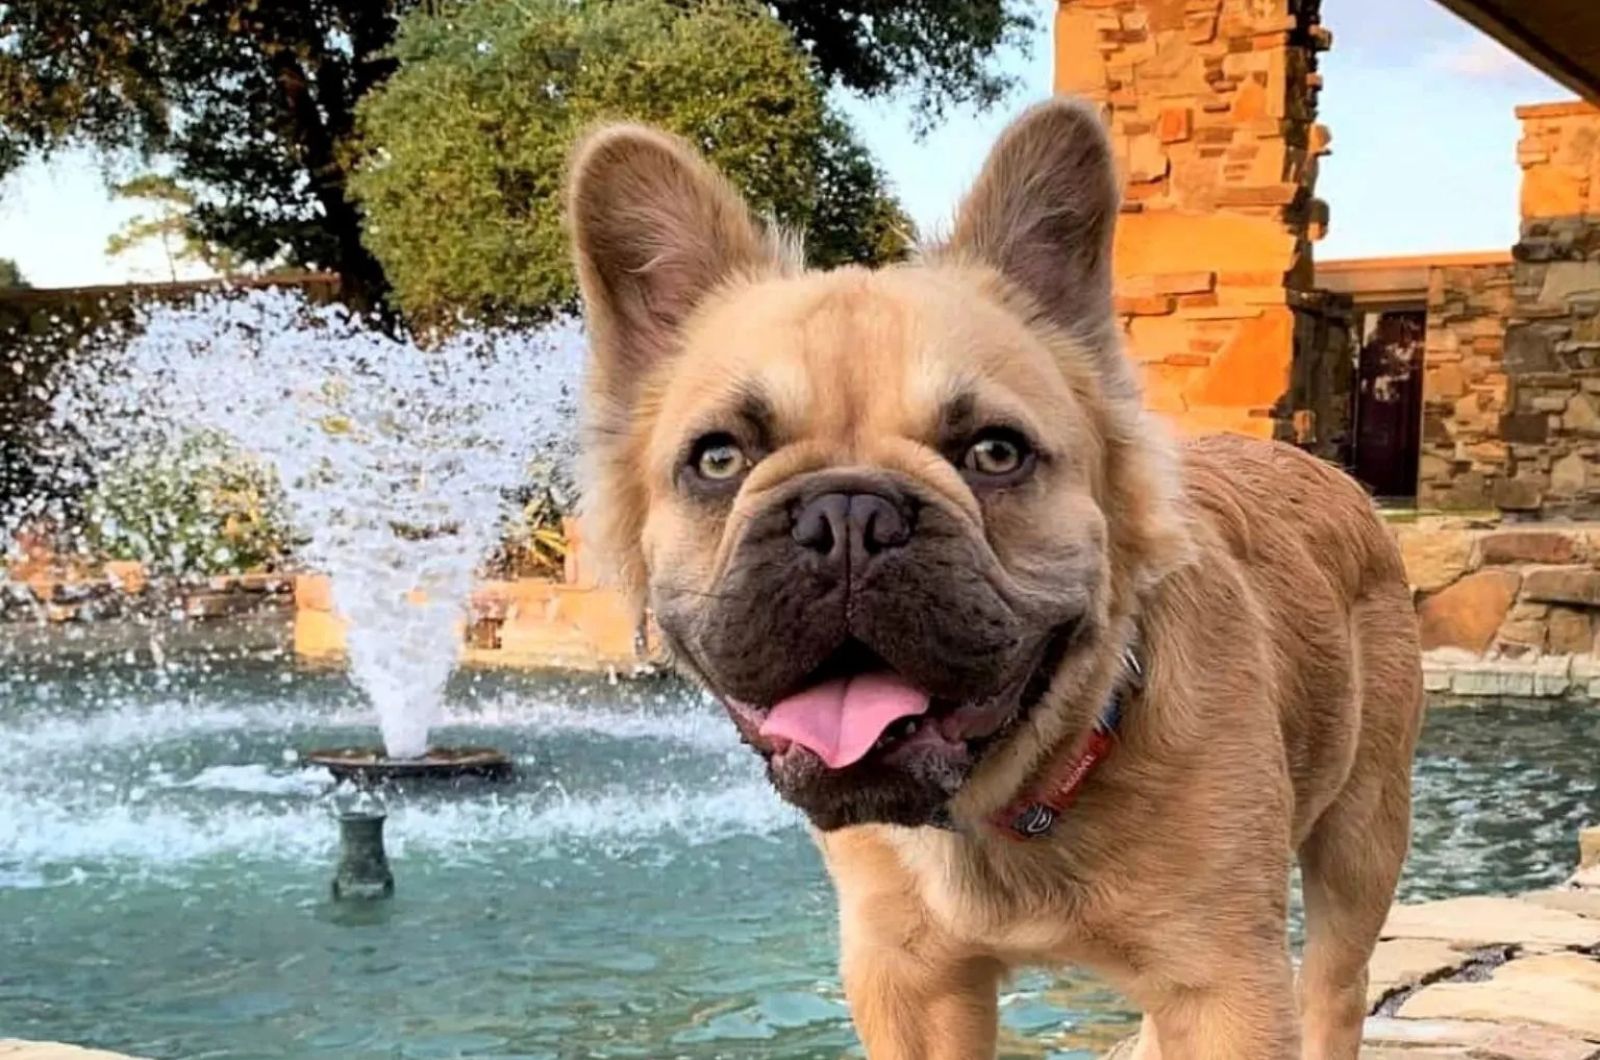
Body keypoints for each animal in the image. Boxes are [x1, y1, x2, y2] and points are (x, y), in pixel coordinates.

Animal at [566, 99, 1427, 1060]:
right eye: (719, 459)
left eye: (995, 453)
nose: (848, 515)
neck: (1017, 794)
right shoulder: (909, 984)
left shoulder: (1226, 989)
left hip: (1361, 846)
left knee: (1336, 987)